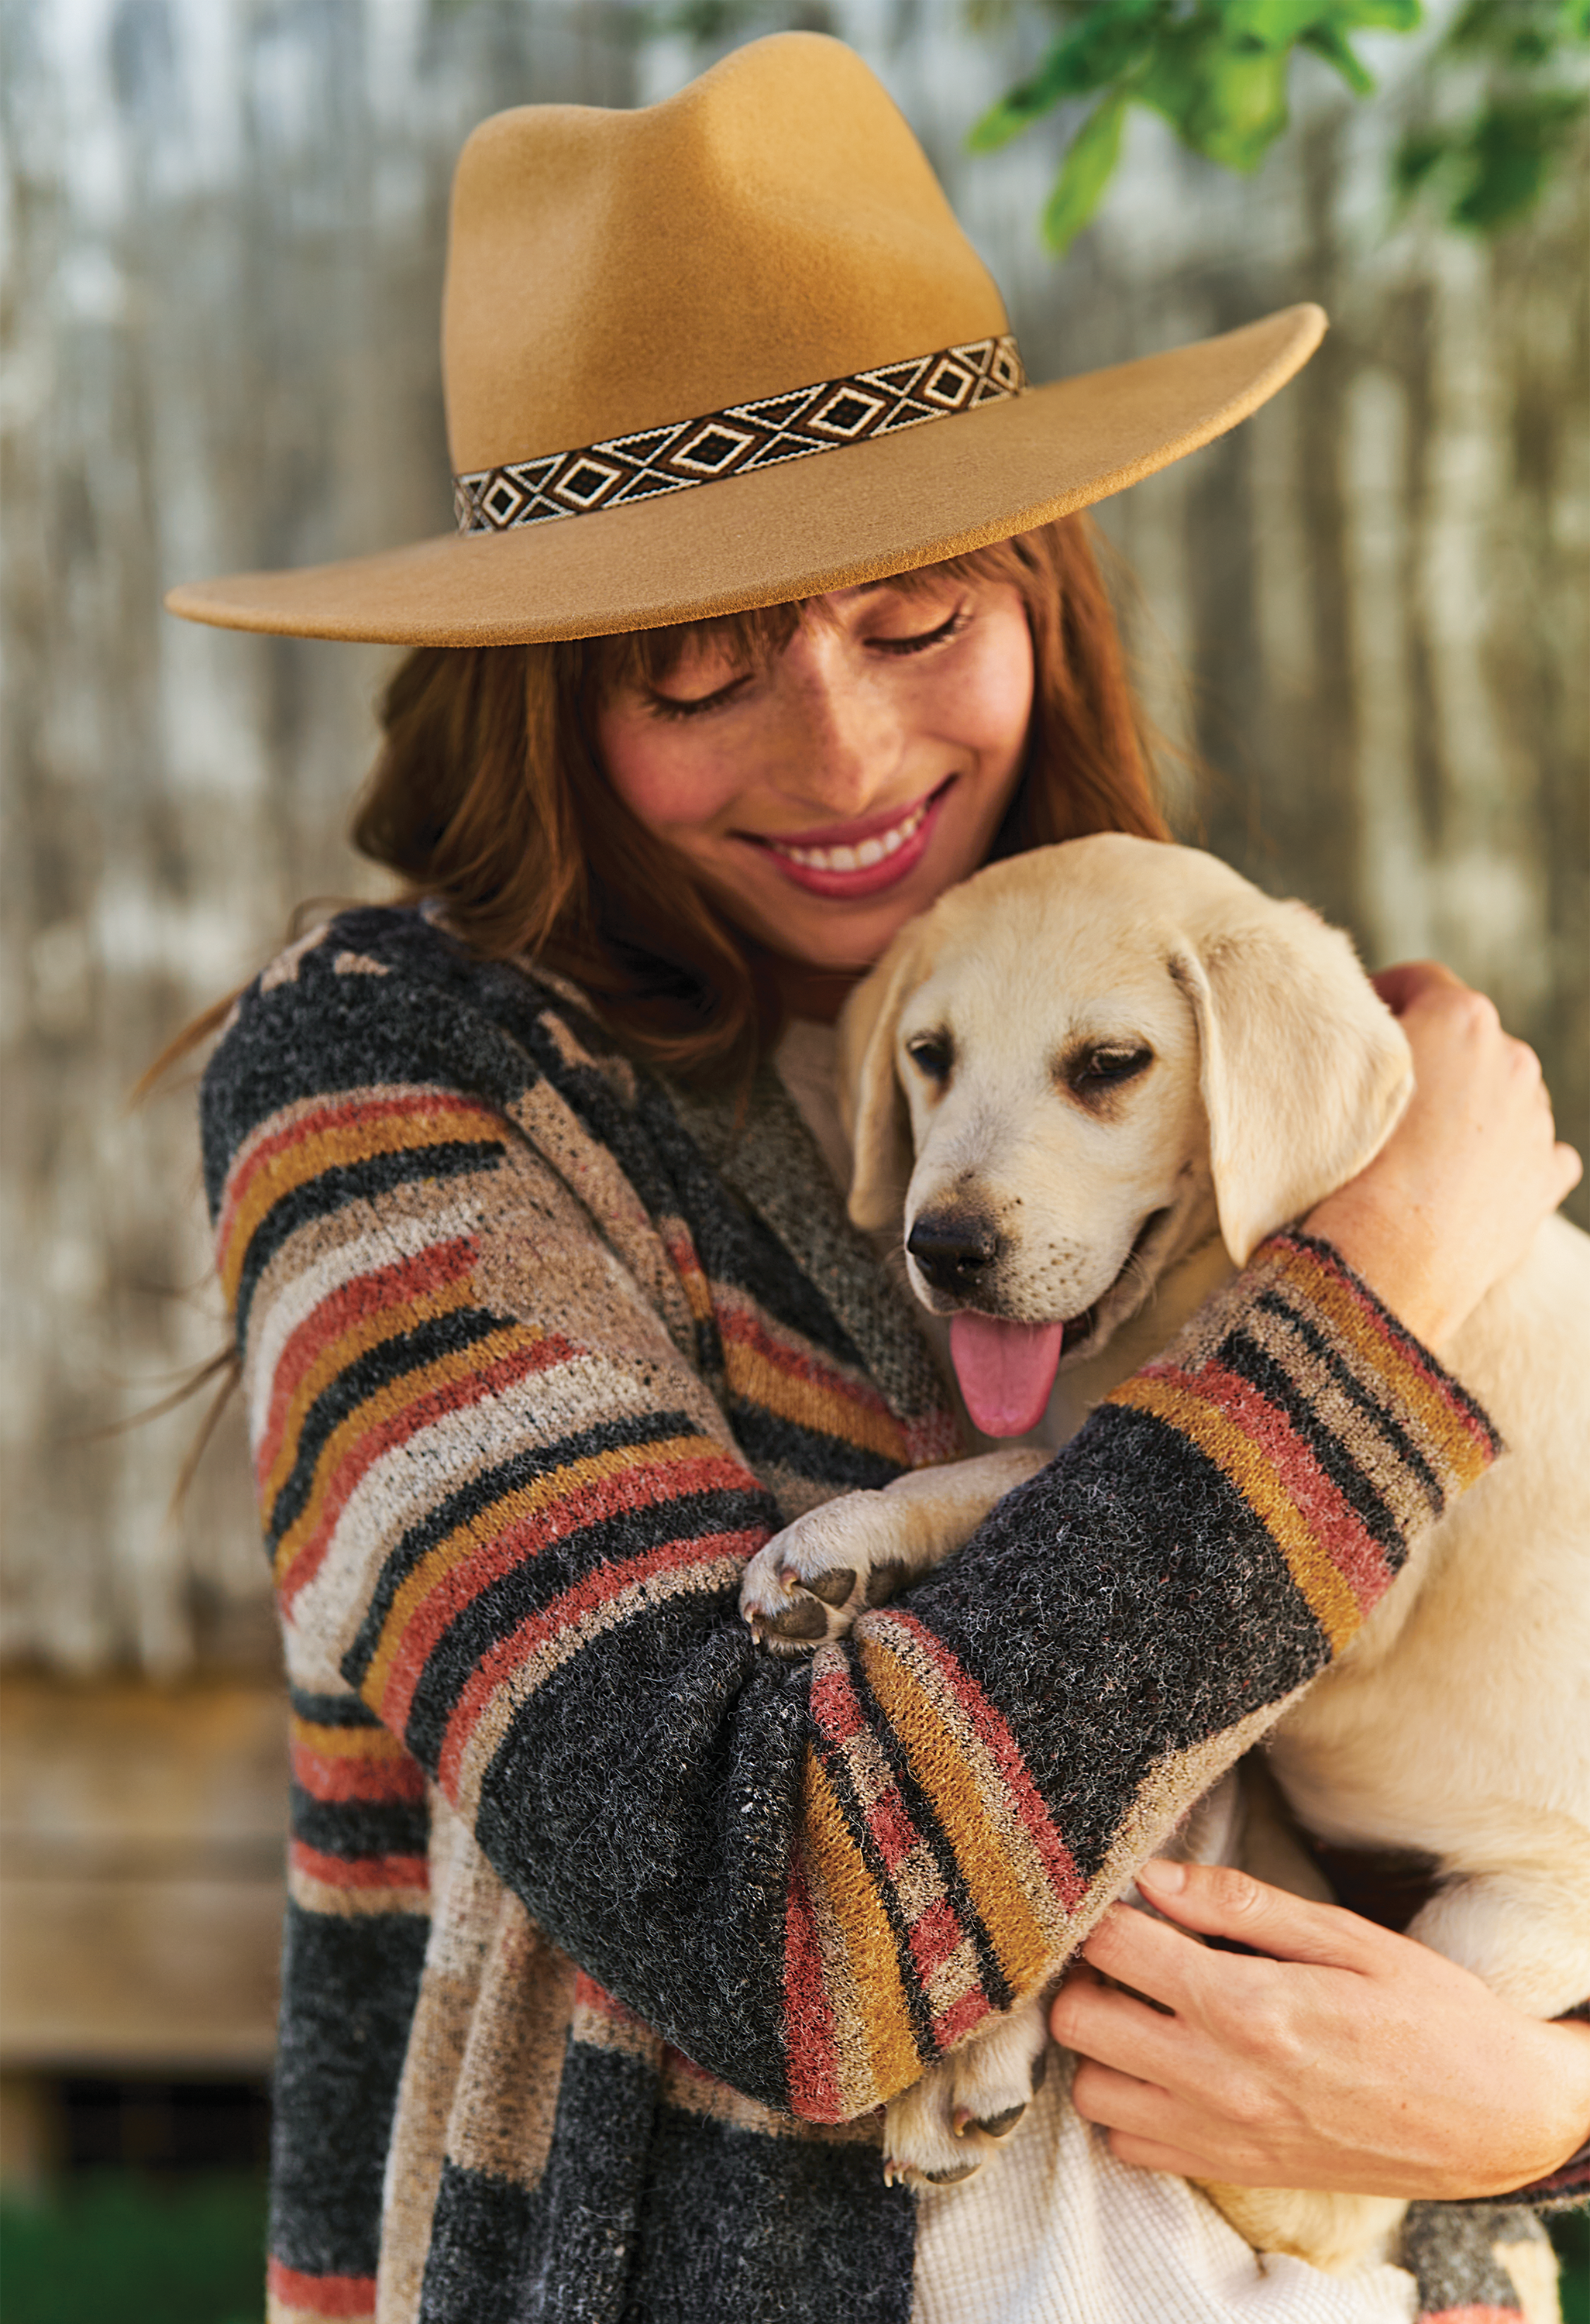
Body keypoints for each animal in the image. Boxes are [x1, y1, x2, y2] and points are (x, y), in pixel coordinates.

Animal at [739, 832, 1590, 2268]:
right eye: (929, 1056)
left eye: (1108, 1065)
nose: (944, 1248)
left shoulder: (1333, 1552)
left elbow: (1033, 1463)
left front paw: (840, 1535)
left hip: (1500, 1928)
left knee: (1339, 2197)